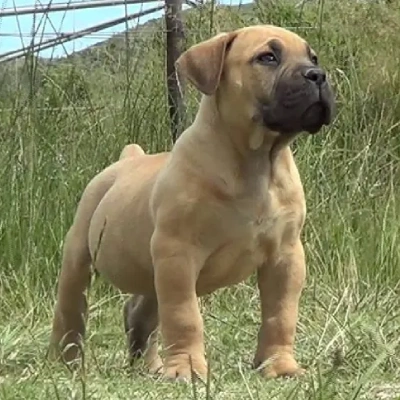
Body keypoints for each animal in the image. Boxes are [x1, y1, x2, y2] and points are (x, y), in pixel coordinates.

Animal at [50, 25, 338, 382]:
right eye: (267, 58)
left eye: (313, 58)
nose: (318, 75)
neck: (257, 160)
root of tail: (129, 157)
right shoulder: (178, 253)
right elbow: (184, 315)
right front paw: (187, 368)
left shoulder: (285, 257)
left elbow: (281, 314)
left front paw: (279, 366)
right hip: (80, 253)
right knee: (71, 309)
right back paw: (65, 361)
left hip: (151, 270)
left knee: (141, 312)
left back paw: (150, 366)